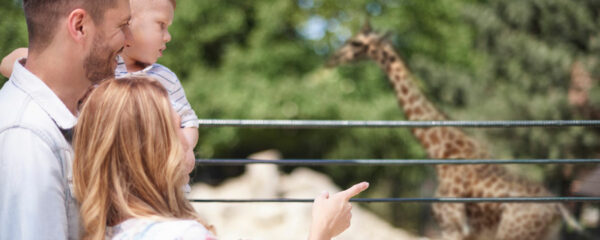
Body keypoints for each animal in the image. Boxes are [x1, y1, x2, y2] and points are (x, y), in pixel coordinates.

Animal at [326, 23, 576, 240]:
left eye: (356, 43)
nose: (332, 59)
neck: (439, 150)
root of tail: (558, 208)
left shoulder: (452, 227)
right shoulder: (468, 233)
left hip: (514, 233)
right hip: (545, 235)